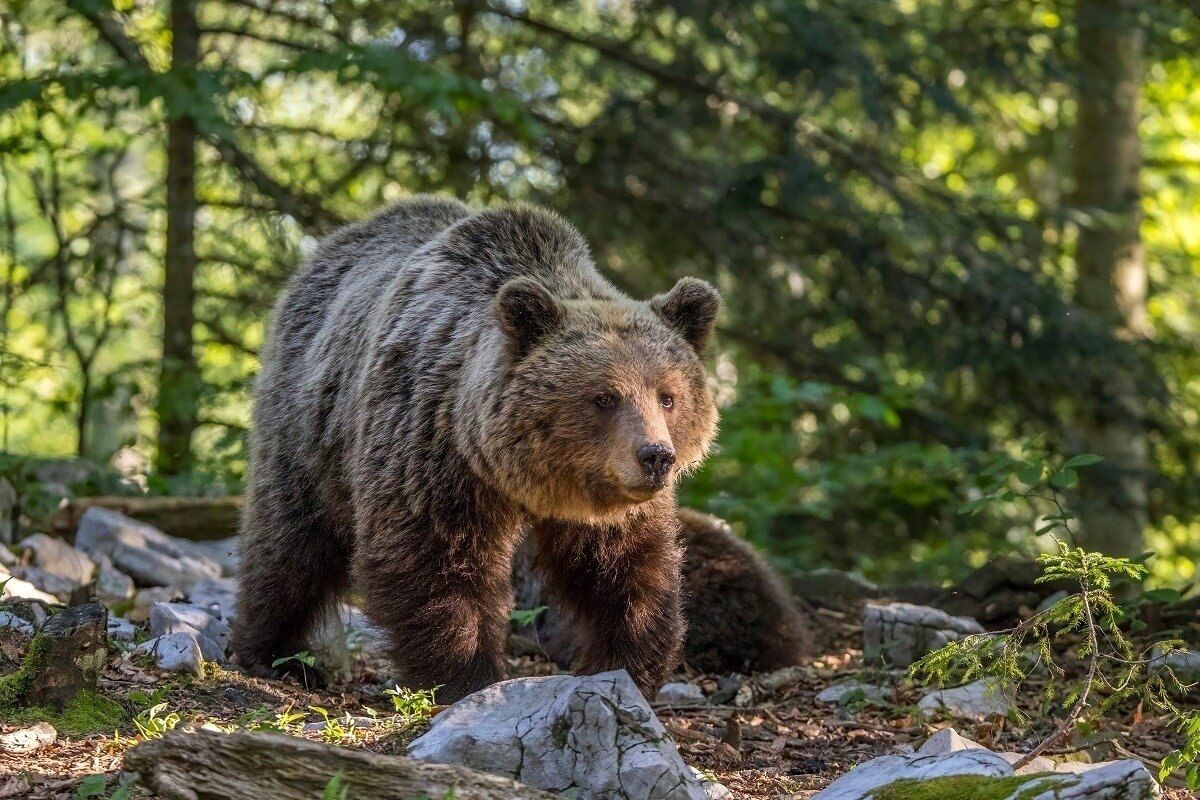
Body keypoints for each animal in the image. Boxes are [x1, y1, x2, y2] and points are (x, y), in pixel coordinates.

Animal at [235, 195, 720, 700]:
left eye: (668, 396)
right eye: (605, 396)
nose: (655, 456)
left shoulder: (608, 502)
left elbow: (626, 570)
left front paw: (625, 665)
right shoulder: (431, 450)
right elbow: (434, 560)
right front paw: (467, 676)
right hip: (309, 427)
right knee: (291, 541)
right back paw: (277, 654)